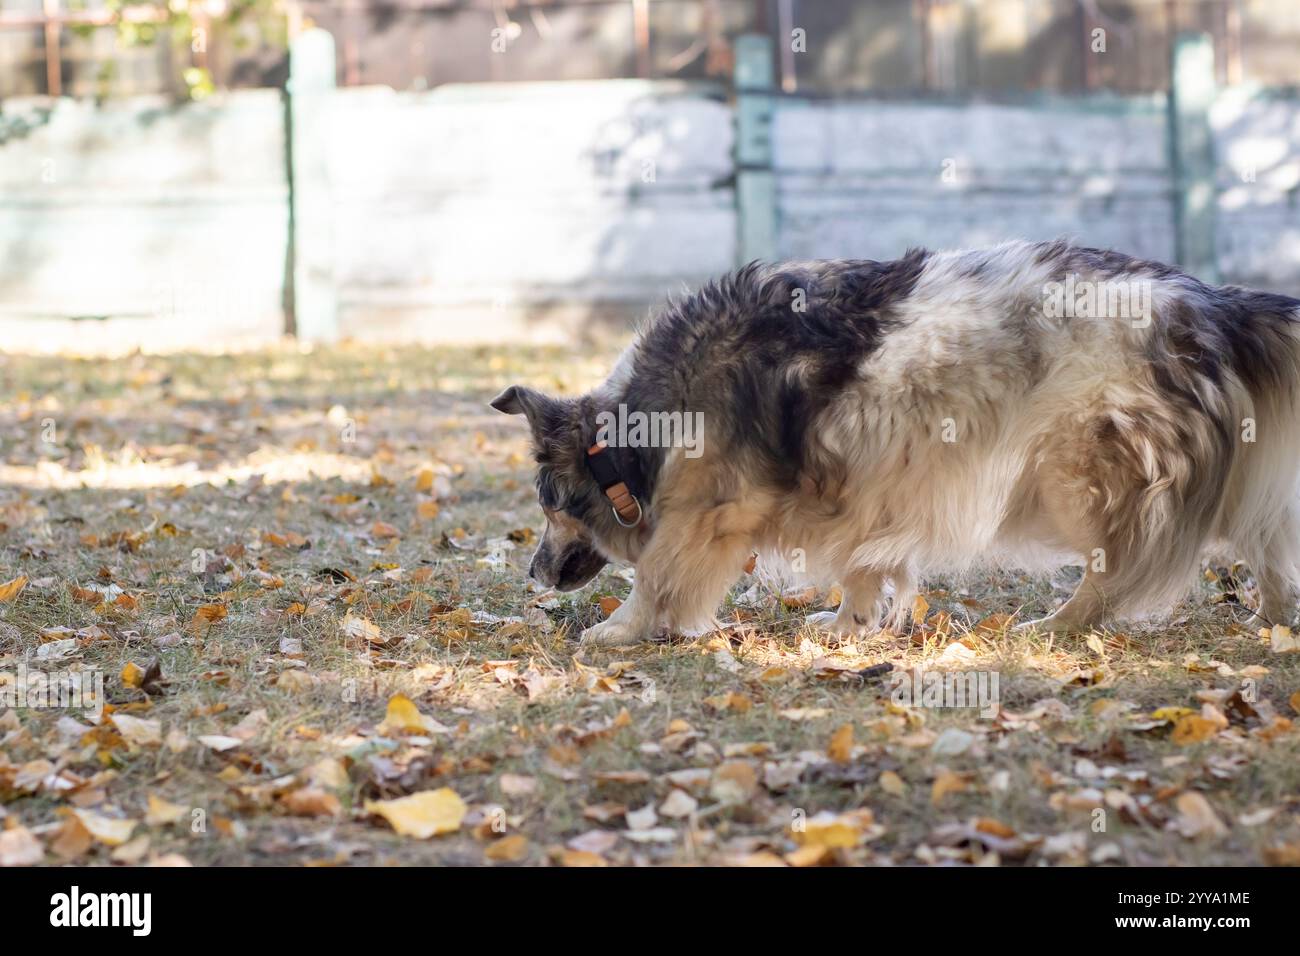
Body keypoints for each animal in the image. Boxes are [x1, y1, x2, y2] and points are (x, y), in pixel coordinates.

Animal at [488, 238, 1300, 650]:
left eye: (548, 503)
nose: (531, 574)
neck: (634, 433)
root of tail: (1211, 303)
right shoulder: (865, 490)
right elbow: (863, 567)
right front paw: (850, 624)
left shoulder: (705, 513)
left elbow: (657, 574)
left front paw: (619, 630)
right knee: (1258, 535)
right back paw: (1276, 617)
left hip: (1076, 474)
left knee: (1119, 569)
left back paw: (1060, 623)